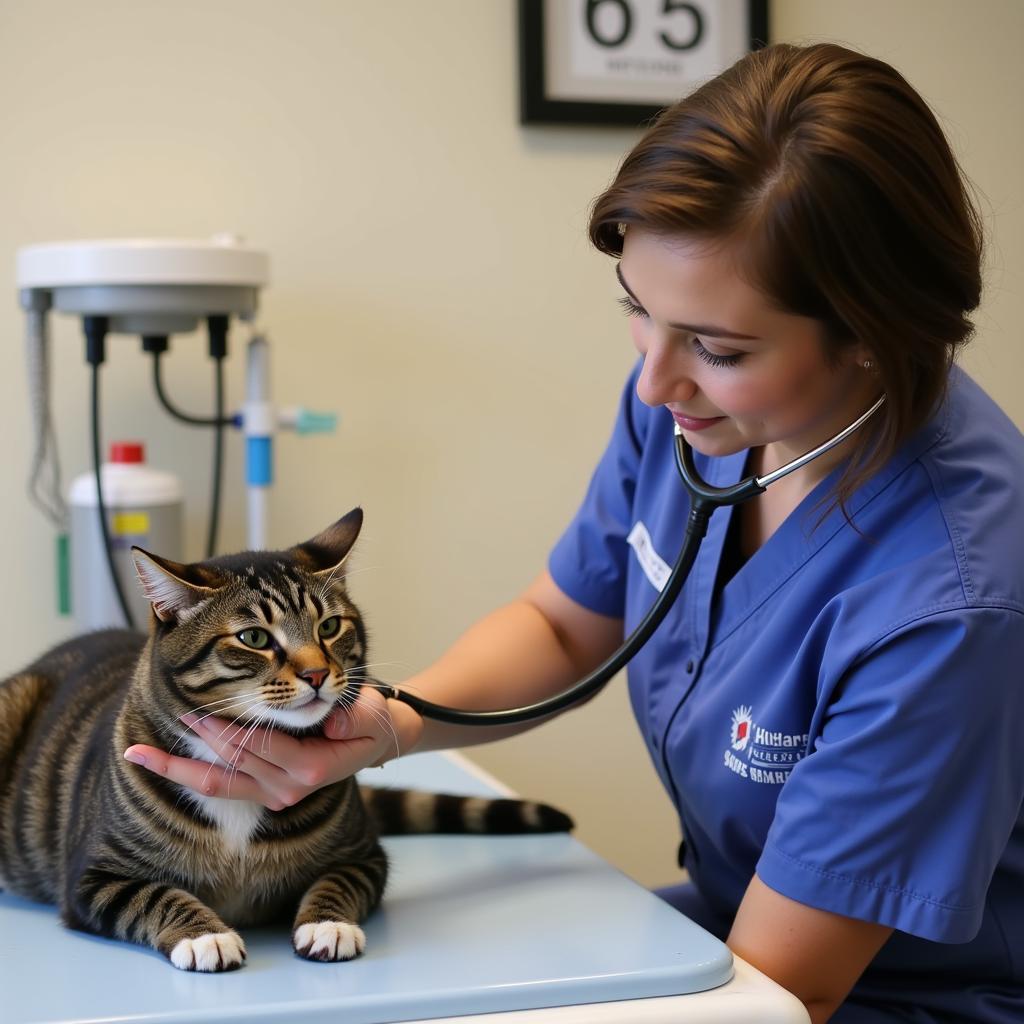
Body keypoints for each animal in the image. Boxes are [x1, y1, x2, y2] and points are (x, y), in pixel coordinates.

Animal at [0, 507, 569, 970]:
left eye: (330, 627)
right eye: (253, 637)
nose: (317, 674)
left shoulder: (364, 855)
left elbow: (339, 879)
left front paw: (327, 924)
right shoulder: (92, 877)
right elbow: (154, 896)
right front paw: (204, 936)